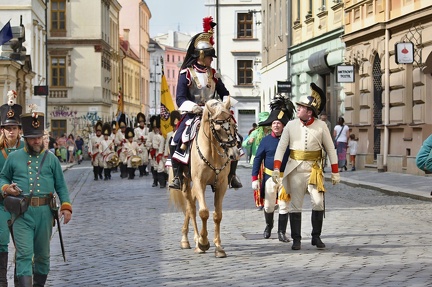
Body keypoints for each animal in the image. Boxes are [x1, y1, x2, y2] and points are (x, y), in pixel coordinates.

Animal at [168, 98, 240, 258]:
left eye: (233, 125)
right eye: (218, 129)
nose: (234, 154)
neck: (213, 152)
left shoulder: (221, 185)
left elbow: (217, 215)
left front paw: (218, 247)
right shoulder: (199, 183)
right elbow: (203, 212)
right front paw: (203, 242)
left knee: (190, 207)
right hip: (186, 183)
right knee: (191, 208)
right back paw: (191, 240)